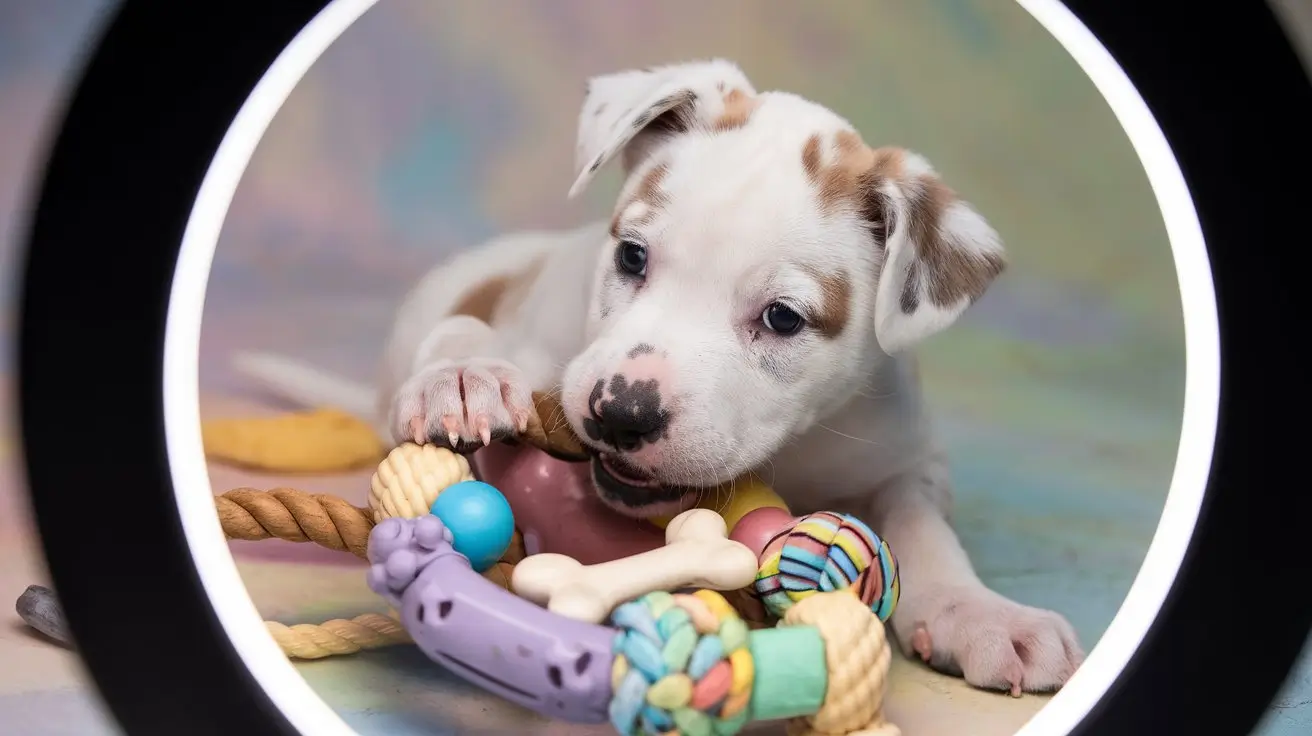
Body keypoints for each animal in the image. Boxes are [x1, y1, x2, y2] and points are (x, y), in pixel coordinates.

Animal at [236, 58, 1086, 692]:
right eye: (632, 256)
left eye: (783, 318)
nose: (622, 413)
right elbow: (469, 338)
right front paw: (464, 378)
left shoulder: (906, 459)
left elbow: (922, 528)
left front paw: (983, 614)